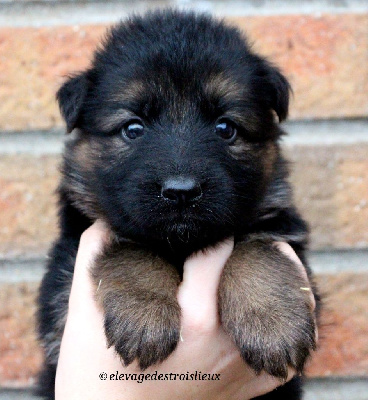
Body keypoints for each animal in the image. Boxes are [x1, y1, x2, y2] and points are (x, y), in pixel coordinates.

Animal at [38, 10, 320, 400]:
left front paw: (271, 321)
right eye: (133, 128)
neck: (183, 244)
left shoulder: (281, 231)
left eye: (225, 127)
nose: (181, 191)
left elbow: (258, 251)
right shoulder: (64, 287)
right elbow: (131, 248)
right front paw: (144, 315)